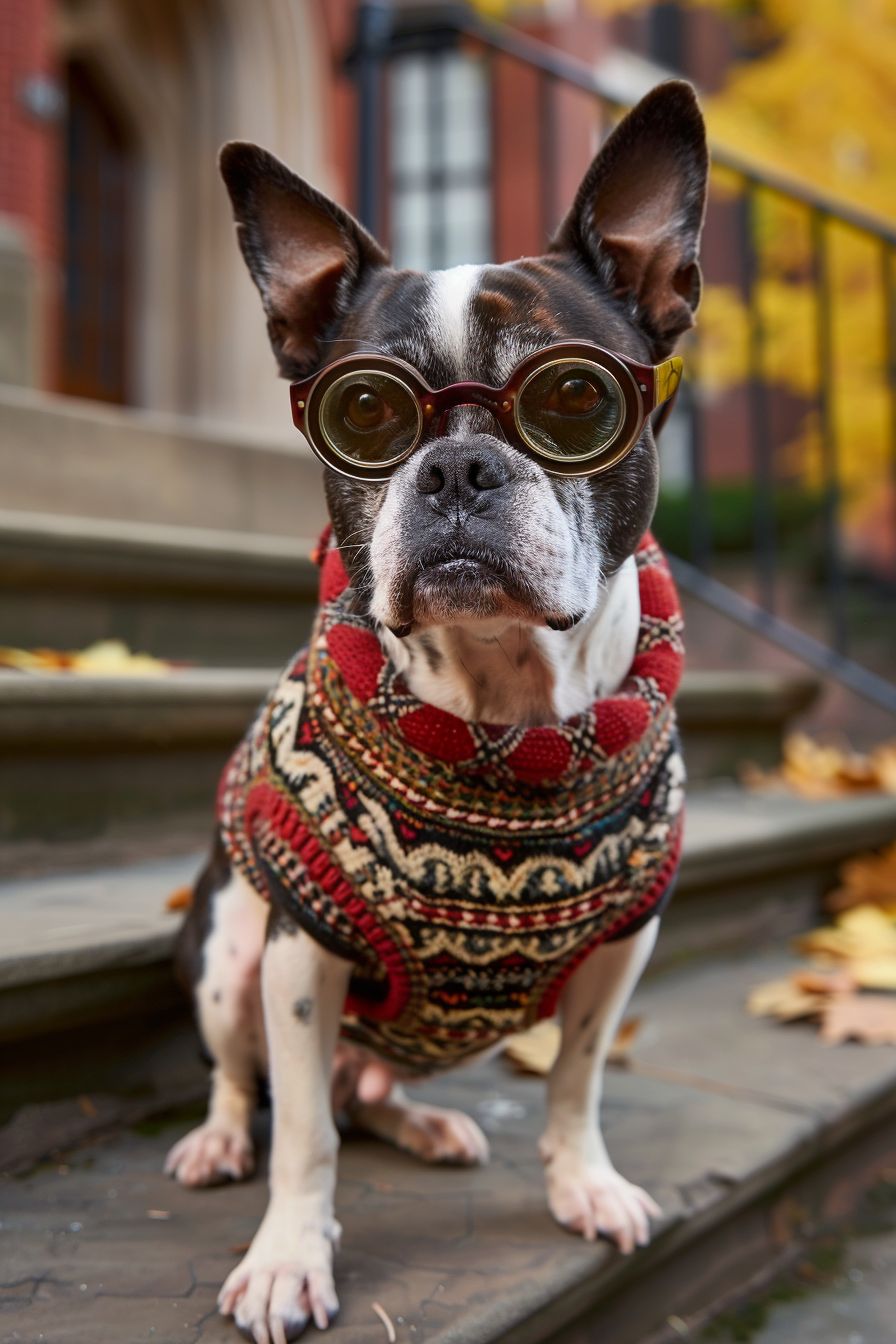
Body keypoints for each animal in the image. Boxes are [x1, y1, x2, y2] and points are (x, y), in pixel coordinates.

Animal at [164, 78, 703, 1338]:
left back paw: (421, 1120)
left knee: (365, 1097)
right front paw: (287, 1256)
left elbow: (575, 1077)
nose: (456, 468)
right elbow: (302, 1139)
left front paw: (582, 1182)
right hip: (223, 949)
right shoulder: (298, 951)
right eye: (363, 413)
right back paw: (218, 1139)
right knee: (253, 1082)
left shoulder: (624, 941)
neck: (502, 708)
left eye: (572, 396)